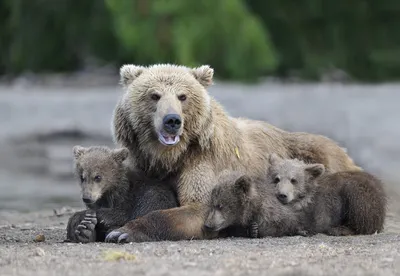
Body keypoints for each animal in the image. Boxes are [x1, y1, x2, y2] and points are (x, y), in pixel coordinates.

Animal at [104, 63, 360, 243]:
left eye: (182, 96)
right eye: (154, 95)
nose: (172, 120)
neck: (170, 157)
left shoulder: (204, 163)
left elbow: (198, 209)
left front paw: (123, 232)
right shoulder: (141, 165)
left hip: (316, 154)